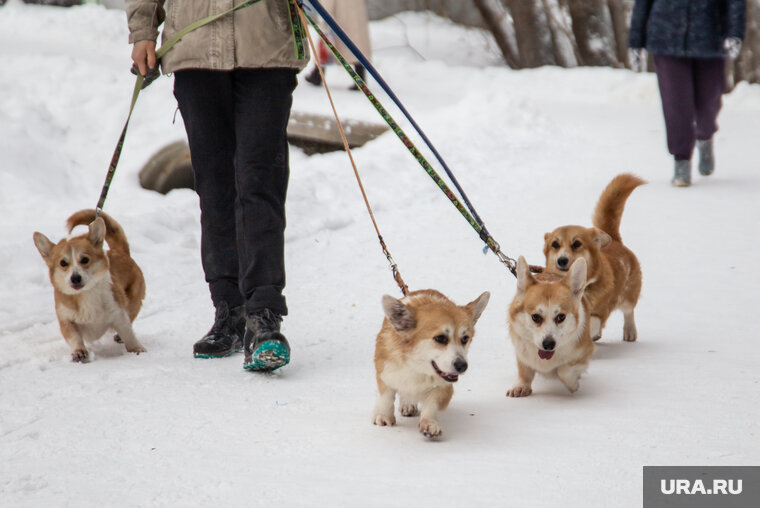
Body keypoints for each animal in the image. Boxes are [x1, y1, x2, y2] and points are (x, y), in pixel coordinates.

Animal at [32, 209, 146, 362]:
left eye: (85, 259)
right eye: (63, 263)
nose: (75, 278)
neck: (85, 294)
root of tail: (121, 252)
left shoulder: (118, 314)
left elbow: (128, 333)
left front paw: (137, 349)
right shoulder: (66, 320)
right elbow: (74, 338)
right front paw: (79, 352)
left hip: (133, 302)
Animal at [372, 290, 490, 440]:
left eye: (465, 339)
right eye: (440, 338)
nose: (462, 366)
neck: (418, 367)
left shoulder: (443, 386)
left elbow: (432, 404)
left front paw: (429, 424)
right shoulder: (385, 371)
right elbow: (386, 396)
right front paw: (384, 417)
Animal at [510, 256, 592, 394]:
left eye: (561, 317)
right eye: (535, 317)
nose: (548, 344)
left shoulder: (585, 352)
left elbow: (563, 371)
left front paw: (573, 385)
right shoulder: (521, 352)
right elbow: (525, 371)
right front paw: (521, 386)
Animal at [544, 173, 644, 344]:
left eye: (577, 243)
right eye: (555, 244)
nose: (562, 260)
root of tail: (615, 240)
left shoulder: (601, 312)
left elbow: (591, 323)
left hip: (628, 294)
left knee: (629, 311)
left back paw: (630, 331)